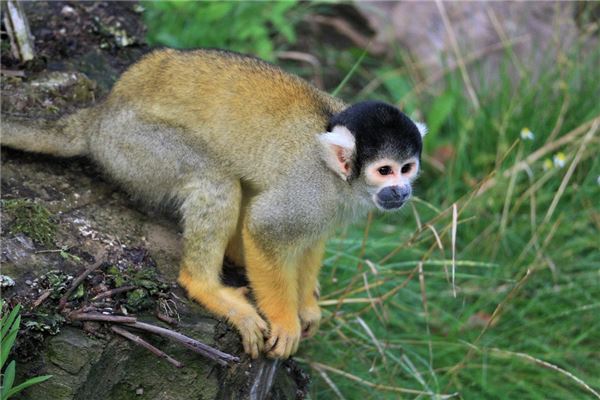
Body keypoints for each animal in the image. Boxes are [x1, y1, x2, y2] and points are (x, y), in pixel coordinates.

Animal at [3, 48, 426, 358]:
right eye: (384, 171)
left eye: (407, 168)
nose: (402, 191)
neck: (341, 180)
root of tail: (99, 116)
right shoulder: (310, 188)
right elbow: (266, 227)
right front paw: (286, 320)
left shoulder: (329, 205)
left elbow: (310, 242)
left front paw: (306, 306)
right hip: (134, 147)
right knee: (216, 180)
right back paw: (206, 286)